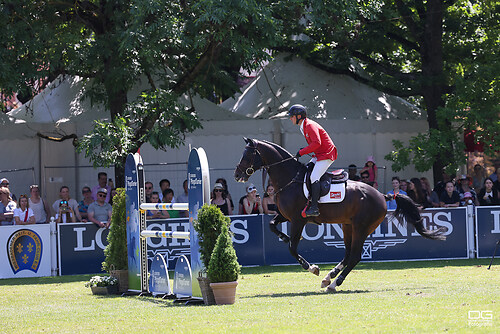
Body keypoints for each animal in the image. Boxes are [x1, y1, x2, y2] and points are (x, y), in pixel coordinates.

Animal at [234, 137, 446, 290]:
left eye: (247, 155)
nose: (237, 175)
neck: (290, 178)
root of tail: (382, 196)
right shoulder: (286, 216)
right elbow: (272, 226)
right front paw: (284, 237)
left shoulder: (297, 220)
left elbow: (293, 249)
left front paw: (313, 268)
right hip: (347, 226)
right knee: (347, 254)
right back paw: (329, 277)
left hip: (361, 228)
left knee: (355, 256)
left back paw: (335, 283)